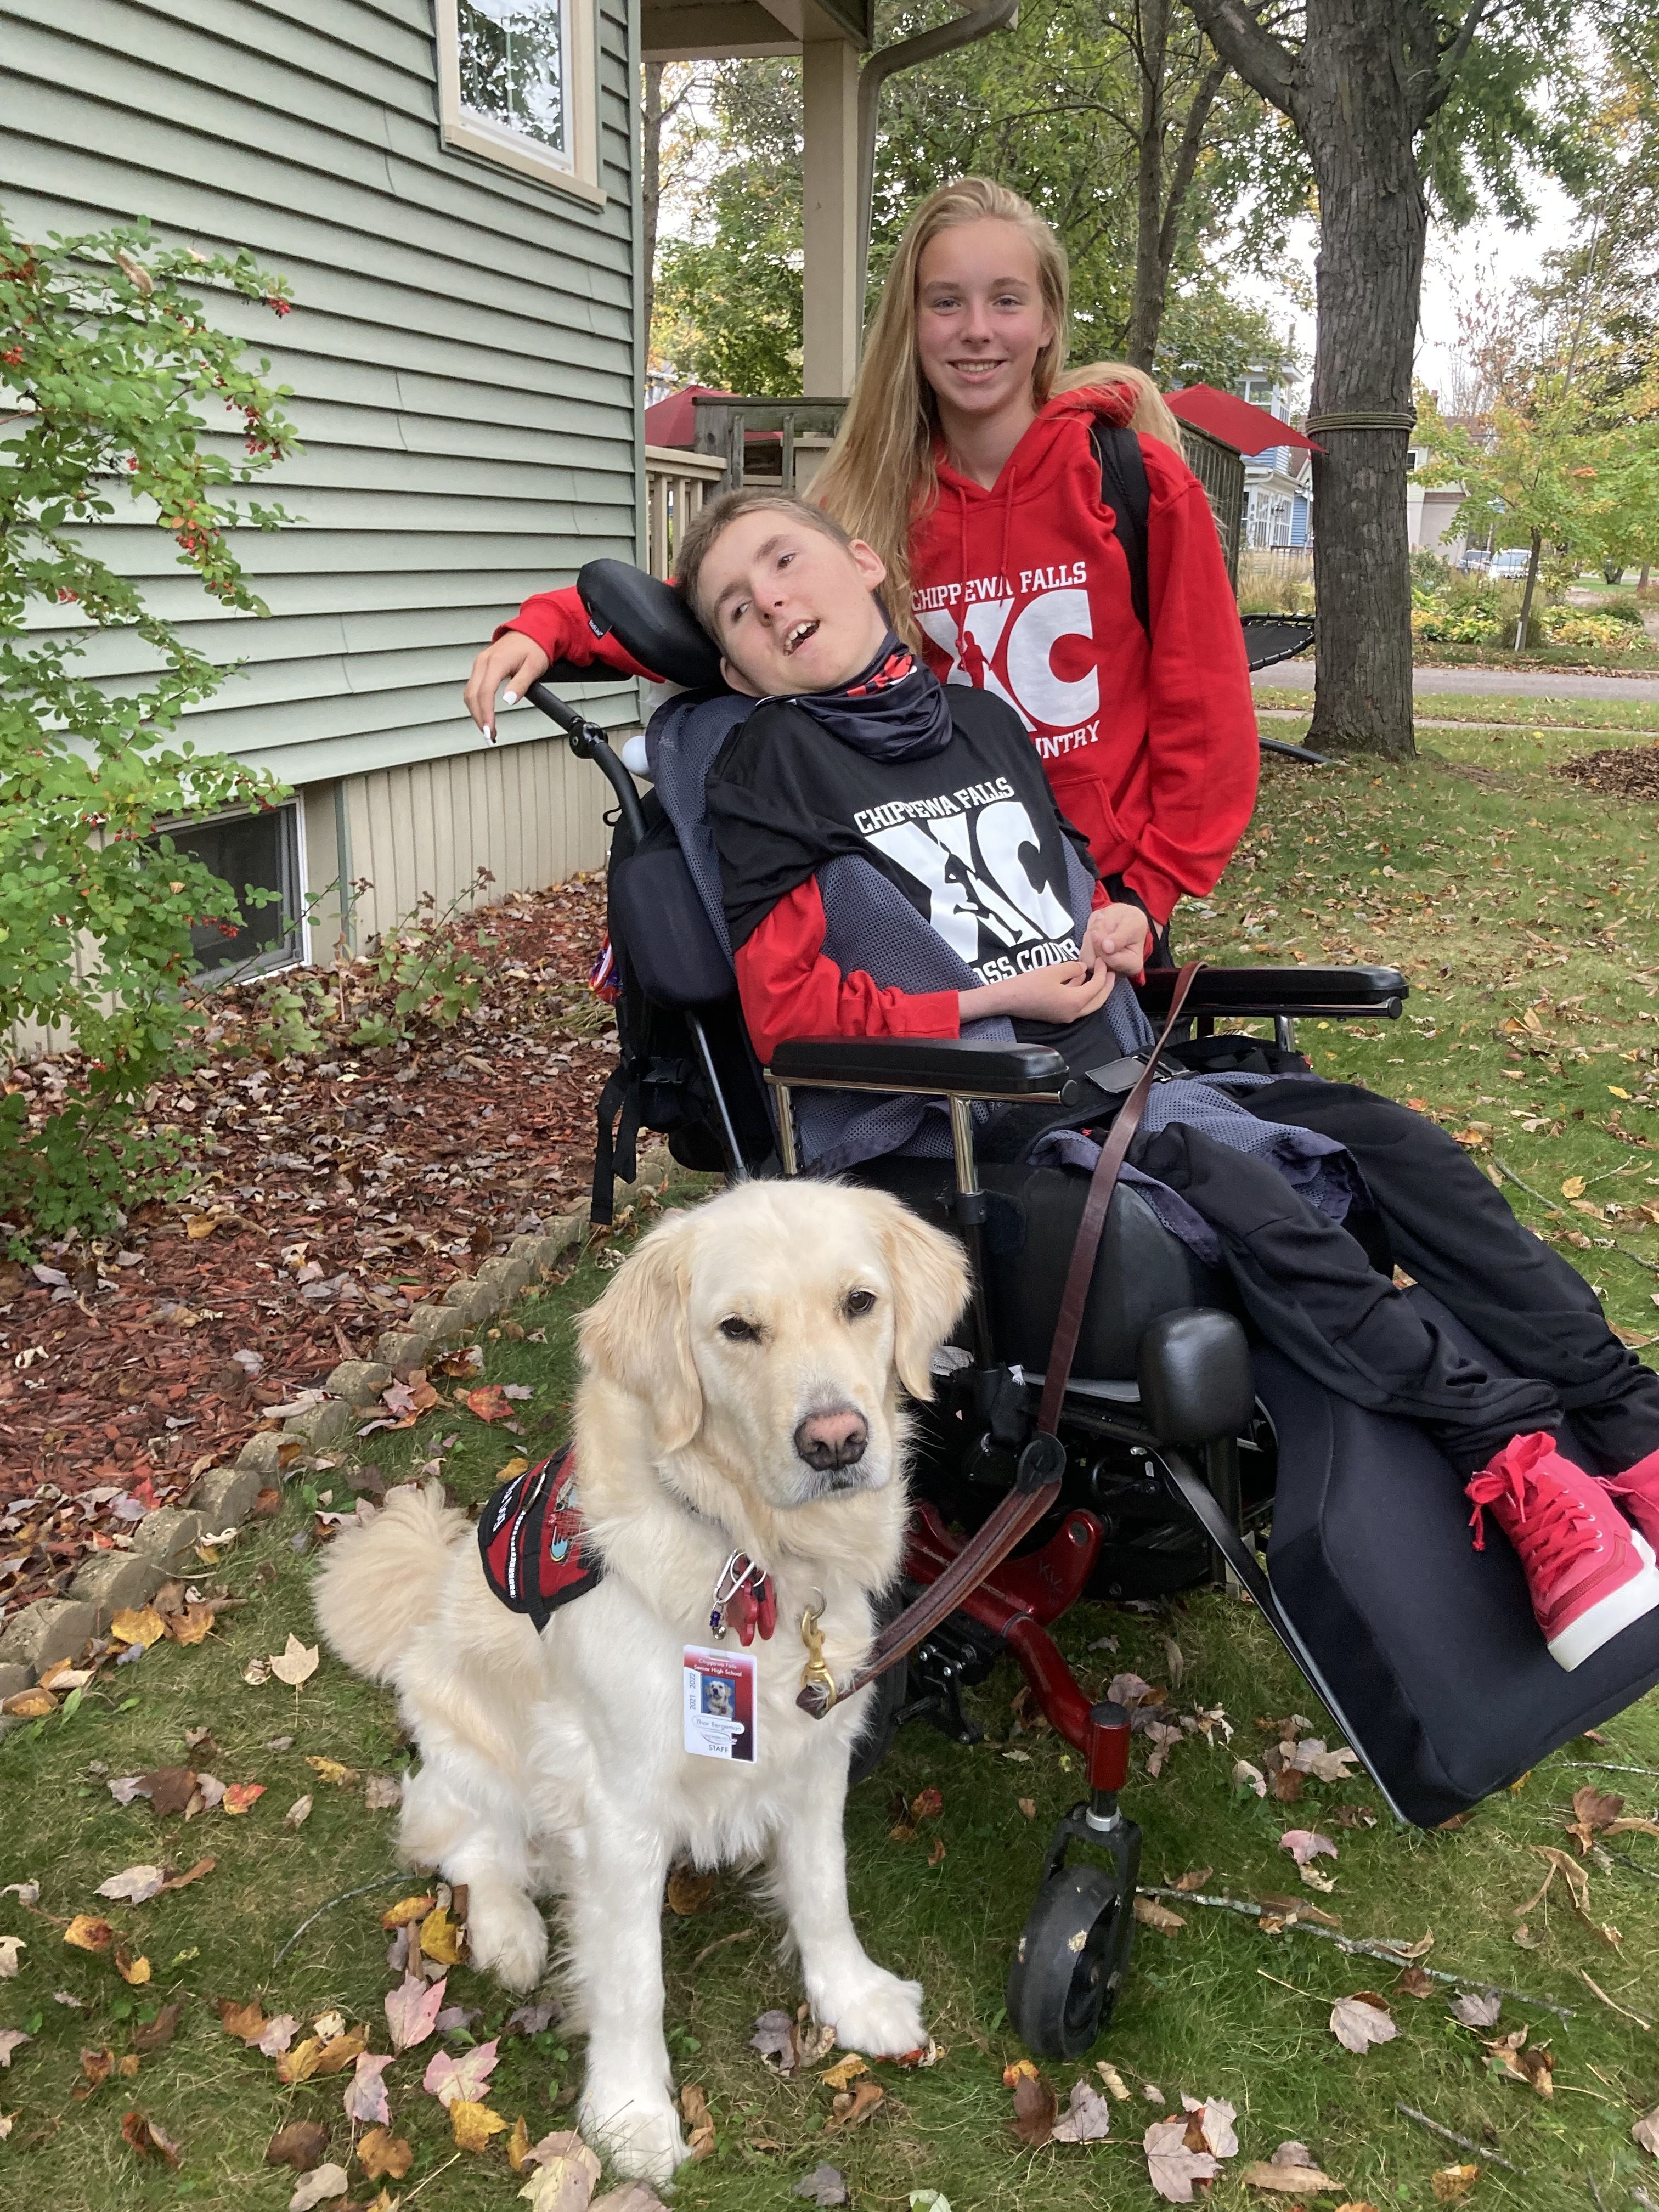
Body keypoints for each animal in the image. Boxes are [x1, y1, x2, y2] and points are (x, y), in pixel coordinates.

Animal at [314, 1186, 969, 2185]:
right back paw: (509, 1932)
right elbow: (631, 1978)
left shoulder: (816, 1748)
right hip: (468, 1744)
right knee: (467, 1847)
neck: (753, 1554)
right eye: (736, 1328)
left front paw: (851, 1995)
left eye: (860, 1302)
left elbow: (825, 1889)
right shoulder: (619, 1800)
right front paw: (629, 2112)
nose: (835, 1441)